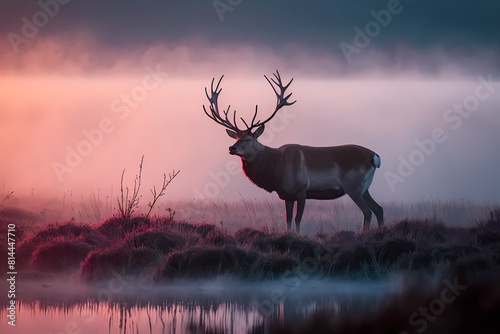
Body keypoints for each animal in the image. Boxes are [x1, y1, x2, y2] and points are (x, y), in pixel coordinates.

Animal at [202, 70, 382, 232]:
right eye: (236, 138)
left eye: (248, 139)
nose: (232, 148)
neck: (276, 171)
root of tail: (374, 157)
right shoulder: (286, 195)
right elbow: (287, 220)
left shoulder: (302, 189)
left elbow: (297, 219)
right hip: (364, 187)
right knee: (378, 209)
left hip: (353, 186)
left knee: (367, 212)